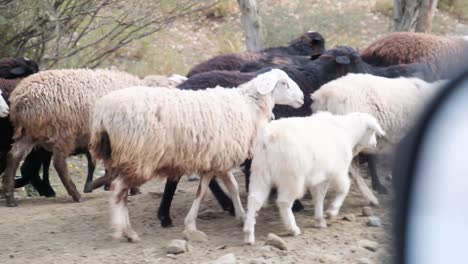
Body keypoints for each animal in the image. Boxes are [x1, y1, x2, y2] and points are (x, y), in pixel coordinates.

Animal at [89, 69, 306, 242]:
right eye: (284, 83)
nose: (303, 98)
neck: (249, 105)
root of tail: (102, 115)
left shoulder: (219, 157)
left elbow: (232, 187)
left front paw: (241, 215)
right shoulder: (215, 159)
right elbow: (201, 192)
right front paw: (191, 223)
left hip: (124, 158)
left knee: (122, 193)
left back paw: (128, 228)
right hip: (140, 157)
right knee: (118, 190)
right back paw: (125, 231)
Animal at [243, 111, 386, 243]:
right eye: (372, 132)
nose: (375, 143)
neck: (348, 132)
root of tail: (268, 136)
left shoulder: (321, 176)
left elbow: (319, 197)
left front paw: (319, 220)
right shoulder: (338, 171)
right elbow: (344, 188)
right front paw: (332, 211)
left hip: (260, 172)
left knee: (254, 199)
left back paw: (249, 234)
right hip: (292, 177)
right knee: (284, 202)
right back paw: (292, 228)